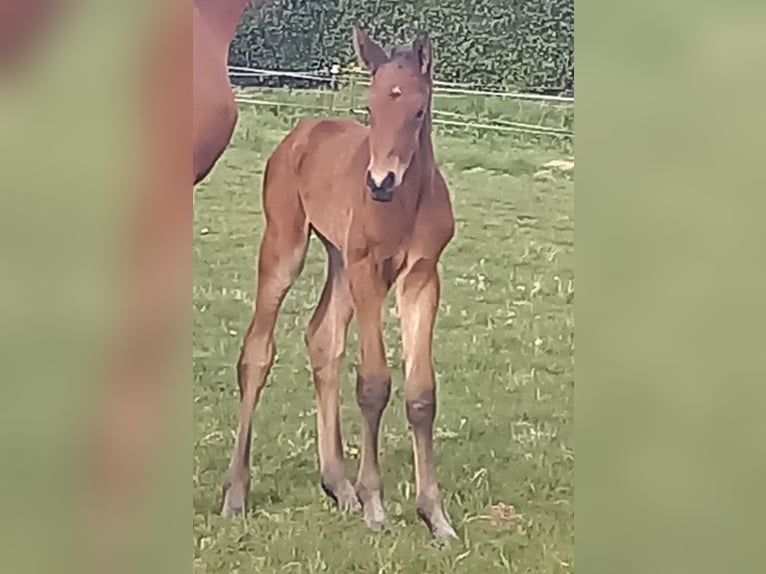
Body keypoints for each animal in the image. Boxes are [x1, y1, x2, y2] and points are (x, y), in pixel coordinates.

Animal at [225, 28, 460, 540]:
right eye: (371, 109)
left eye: (418, 111)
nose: (380, 182)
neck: (404, 204)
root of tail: (302, 131)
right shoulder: (368, 271)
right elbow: (373, 384)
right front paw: (376, 505)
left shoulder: (421, 277)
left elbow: (421, 394)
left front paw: (434, 516)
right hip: (287, 247)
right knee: (257, 352)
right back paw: (236, 493)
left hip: (338, 260)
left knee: (322, 340)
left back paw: (338, 484)